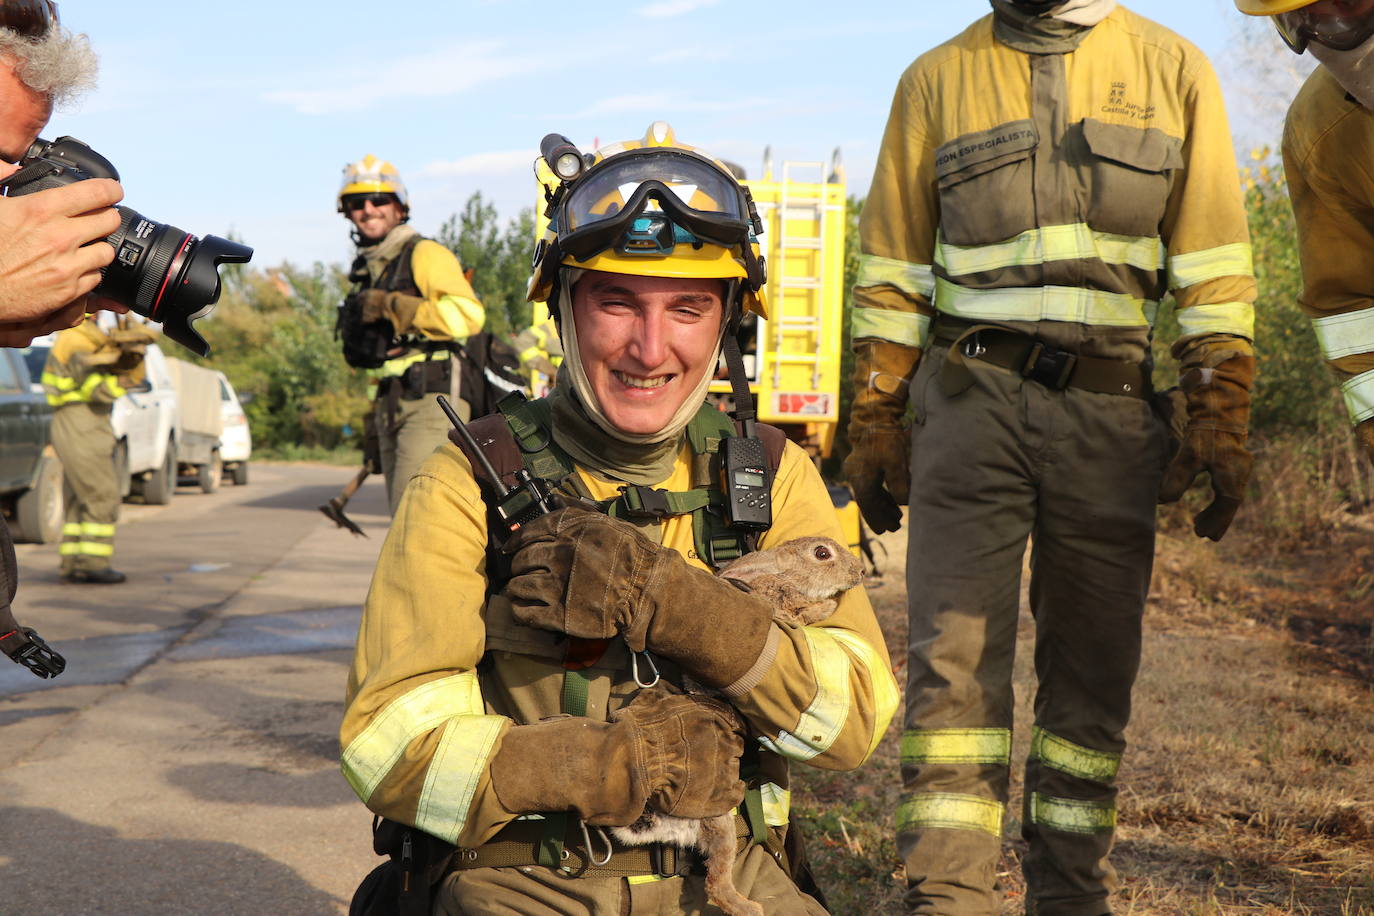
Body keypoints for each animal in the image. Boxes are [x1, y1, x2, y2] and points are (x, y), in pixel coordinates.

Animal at [610, 538, 857, 916]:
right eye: (822, 553)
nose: (858, 572)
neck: (780, 574)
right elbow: (803, 612)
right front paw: (829, 604)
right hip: (720, 822)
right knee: (716, 884)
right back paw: (751, 907)